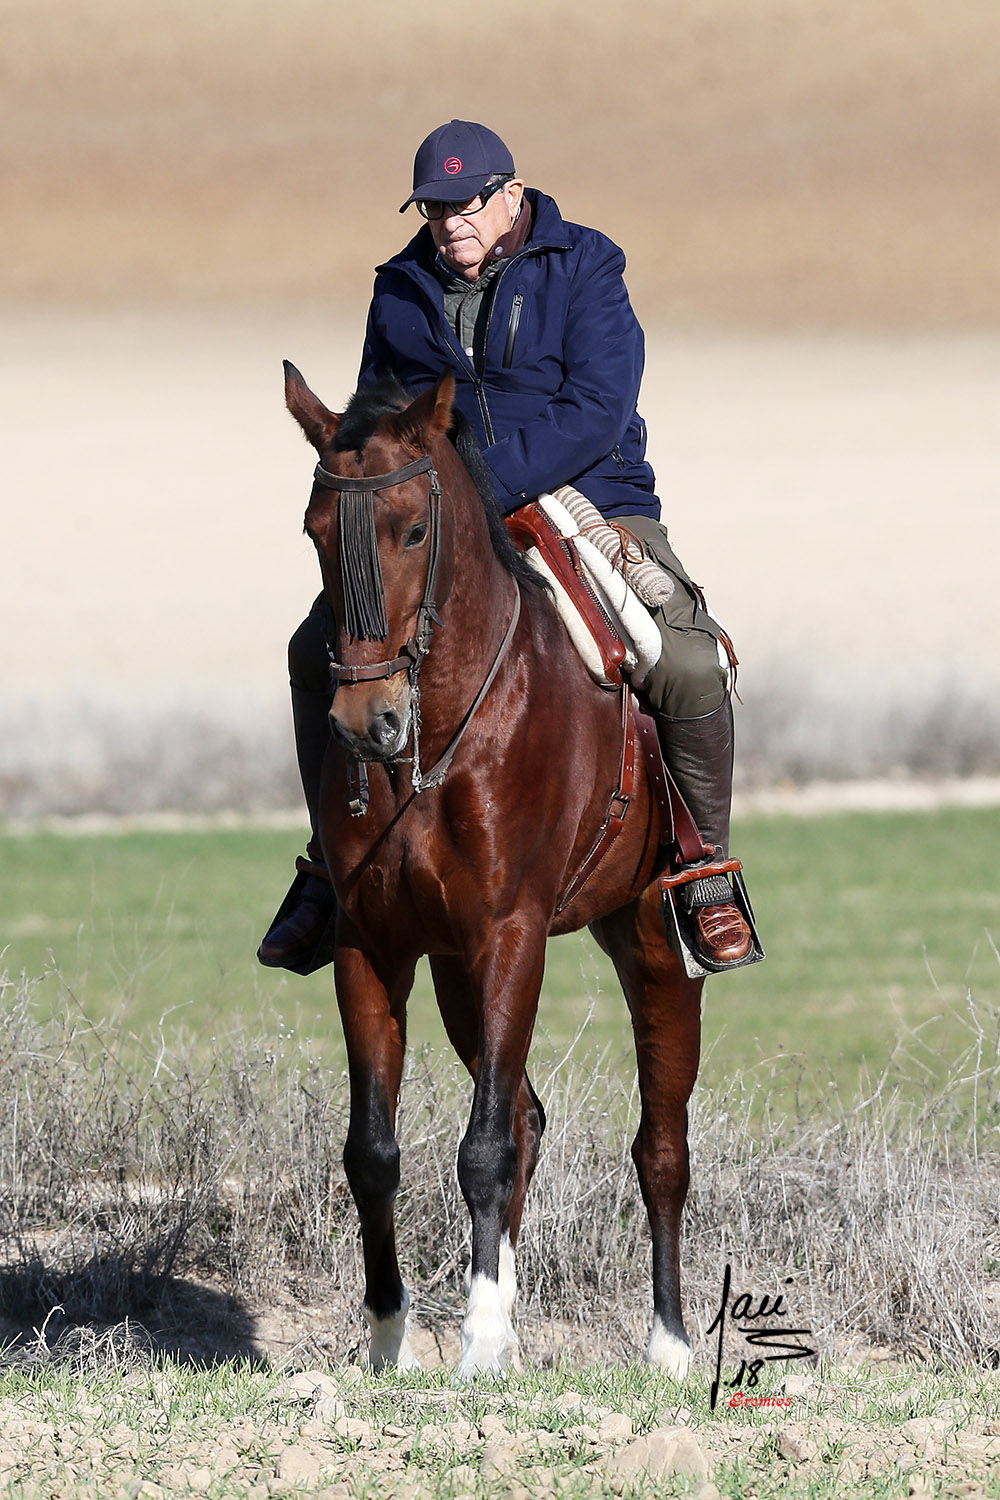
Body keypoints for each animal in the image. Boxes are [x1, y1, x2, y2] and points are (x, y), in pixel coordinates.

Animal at [283, 366, 704, 1380]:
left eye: (413, 530)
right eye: (315, 529)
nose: (365, 724)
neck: (436, 736)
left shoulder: (512, 934)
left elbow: (482, 1149)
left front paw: (475, 1347)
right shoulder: (373, 944)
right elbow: (375, 1150)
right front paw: (391, 1340)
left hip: (651, 943)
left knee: (659, 1148)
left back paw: (669, 1346)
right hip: (454, 974)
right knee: (528, 1117)